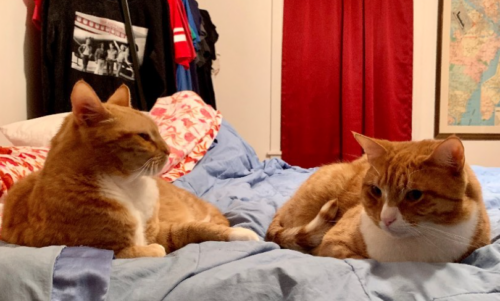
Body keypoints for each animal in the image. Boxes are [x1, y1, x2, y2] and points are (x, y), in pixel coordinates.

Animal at [2, 79, 262, 255]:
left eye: (158, 131)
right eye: (144, 136)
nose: (168, 150)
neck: (128, 186)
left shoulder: (160, 230)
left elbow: (196, 229)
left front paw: (244, 233)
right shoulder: (115, 250)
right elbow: (157, 250)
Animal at [268, 132, 490, 262]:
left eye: (414, 194)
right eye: (376, 190)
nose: (386, 218)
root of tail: (284, 204)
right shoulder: (331, 245)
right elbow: (362, 259)